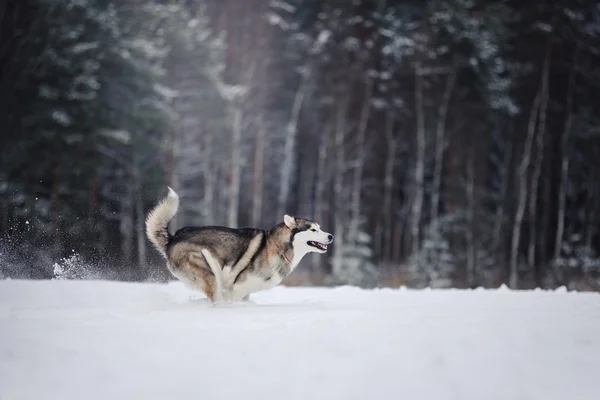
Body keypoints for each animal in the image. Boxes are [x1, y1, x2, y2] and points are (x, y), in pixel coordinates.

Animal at [145, 188, 332, 304]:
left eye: (320, 227)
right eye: (313, 229)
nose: (331, 236)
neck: (277, 247)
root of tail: (173, 238)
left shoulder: (245, 293)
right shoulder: (236, 289)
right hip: (209, 269)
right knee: (217, 299)